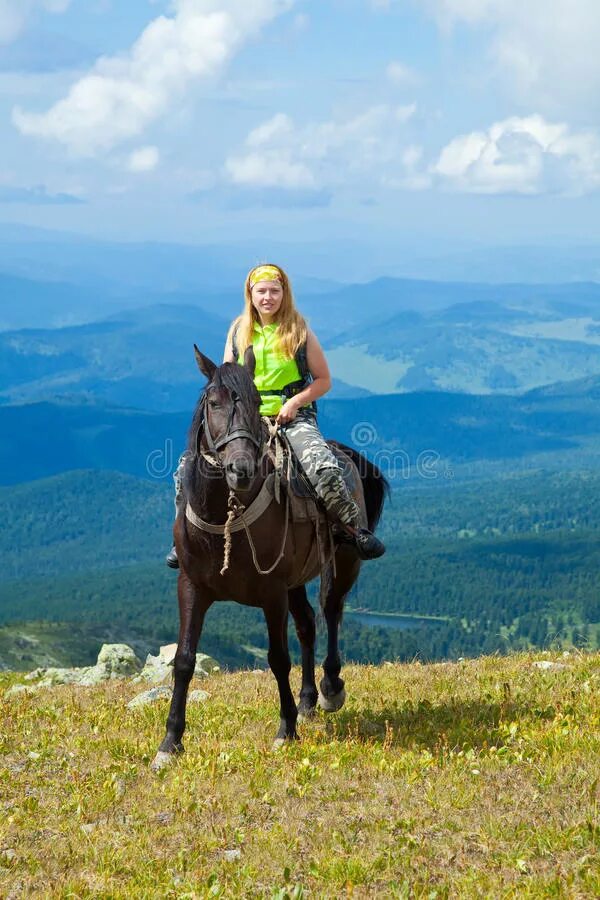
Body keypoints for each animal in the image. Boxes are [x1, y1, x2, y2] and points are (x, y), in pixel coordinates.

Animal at [152, 348, 386, 768]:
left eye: (257, 402)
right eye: (213, 403)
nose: (240, 469)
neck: (225, 515)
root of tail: (342, 451)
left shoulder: (272, 592)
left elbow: (278, 658)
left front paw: (286, 730)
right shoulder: (191, 587)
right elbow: (184, 660)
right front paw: (170, 742)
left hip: (344, 562)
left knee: (331, 612)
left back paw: (330, 689)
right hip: (296, 581)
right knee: (307, 624)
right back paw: (308, 701)